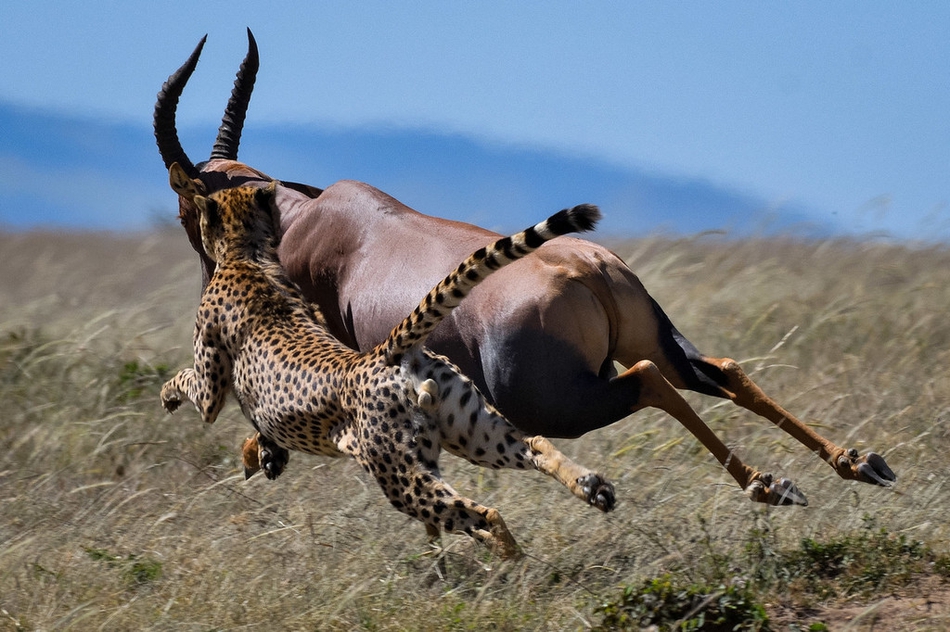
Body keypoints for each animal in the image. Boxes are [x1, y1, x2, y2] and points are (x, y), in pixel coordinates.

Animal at [152, 30, 896, 508]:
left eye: (185, 204)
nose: (209, 278)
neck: (318, 221)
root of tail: (587, 265)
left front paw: (261, 453)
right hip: (654, 341)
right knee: (722, 372)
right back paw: (855, 464)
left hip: (557, 399)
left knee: (648, 381)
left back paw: (766, 486)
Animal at [160, 163, 612, 556]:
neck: (248, 252)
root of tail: (386, 352)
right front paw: (262, 455)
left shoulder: (210, 388)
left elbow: (187, 382)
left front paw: (168, 397)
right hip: (472, 433)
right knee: (534, 447)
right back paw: (593, 489)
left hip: (397, 472)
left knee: (481, 513)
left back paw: (507, 569)